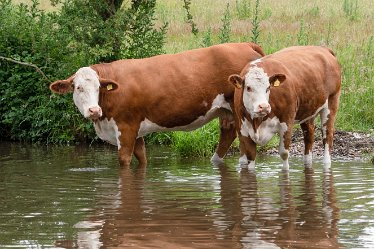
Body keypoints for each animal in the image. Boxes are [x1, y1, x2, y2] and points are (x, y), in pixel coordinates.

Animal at [50, 42, 266, 167]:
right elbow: (142, 158)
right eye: (78, 88)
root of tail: (244, 44)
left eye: (98, 88)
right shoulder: (136, 131)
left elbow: (124, 161)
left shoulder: (126, 128)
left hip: (242, 112)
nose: (94, 110)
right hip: (225, 111)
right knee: (227, 135)